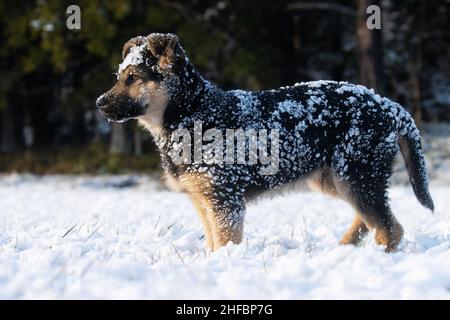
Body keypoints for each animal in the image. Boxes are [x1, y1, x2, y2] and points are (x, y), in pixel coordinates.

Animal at [97, 32, 432, 252]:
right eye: (119, 77)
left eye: (132, 78)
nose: (99, 104)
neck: (193, 113)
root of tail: (387, 104)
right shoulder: (203, 200)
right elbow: (212, 241)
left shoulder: (225, 200)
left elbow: (224, 242)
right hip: (338, 179)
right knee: (373, 219)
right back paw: (346, 248)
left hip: (355, 175)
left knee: (391, 228)